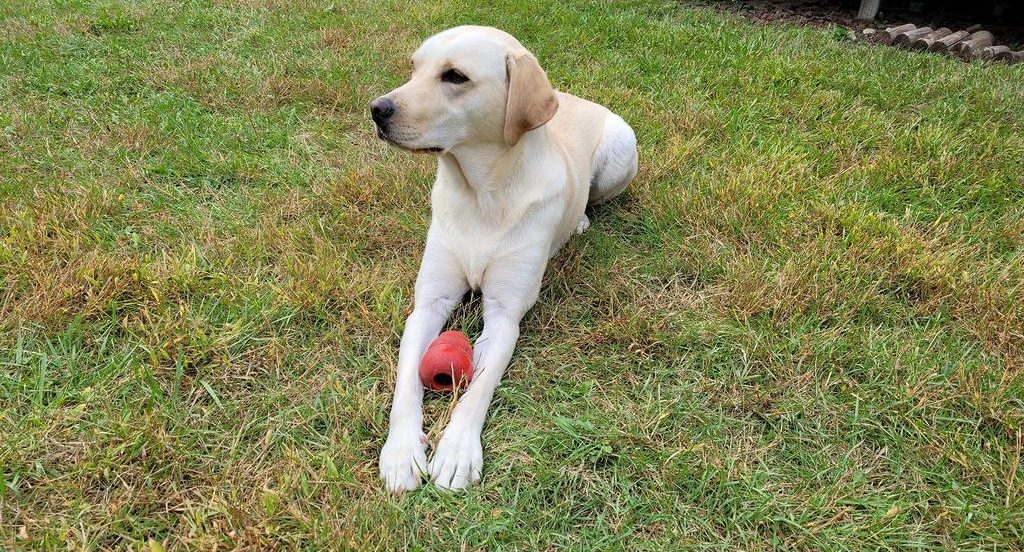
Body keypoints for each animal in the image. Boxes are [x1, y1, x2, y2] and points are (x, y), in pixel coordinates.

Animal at [372, 24, 634, 491]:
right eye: (414, 68)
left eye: (455, 76)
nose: (376, 109)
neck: (481, 195)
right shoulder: (428, 303)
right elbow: (405, 385)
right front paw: (401, 452)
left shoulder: (504, 312)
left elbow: (479, 387)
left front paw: (457, 451)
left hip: (623, 150)